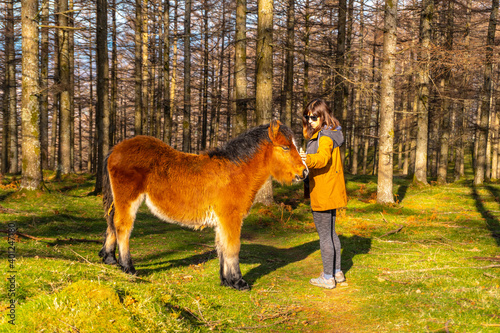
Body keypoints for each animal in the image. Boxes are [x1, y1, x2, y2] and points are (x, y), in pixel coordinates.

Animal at [98, 120, 308, 290]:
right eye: (285, 147)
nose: (304, 172)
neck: (234, 172)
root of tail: (116, 149)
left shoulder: (222, 221)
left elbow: (222, 246)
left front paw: (226, 281)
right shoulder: (231, 218)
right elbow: (233, 247)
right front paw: (239, 282)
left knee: (111, 226)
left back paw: (110, 259)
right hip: (128, 200)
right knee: (122, 228)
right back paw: (128, 267)